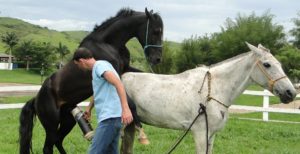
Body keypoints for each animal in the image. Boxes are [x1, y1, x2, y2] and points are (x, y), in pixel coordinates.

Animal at [18, 8, 164, 154]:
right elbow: (131, 104)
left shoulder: (124, 69)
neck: (108, 43)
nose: (157, 59)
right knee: (48, 146)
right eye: (156, 31)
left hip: (68, 120)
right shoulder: (115, 75)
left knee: (58, 141)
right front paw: (141, 133)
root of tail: (36, 99)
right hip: (51, 124)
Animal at [120, 42, 296, 154]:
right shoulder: (200, 134)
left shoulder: (211, 135)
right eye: (267, 64)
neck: (212, 93)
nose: (291, 93)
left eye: (279, 64)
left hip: (130, 126)